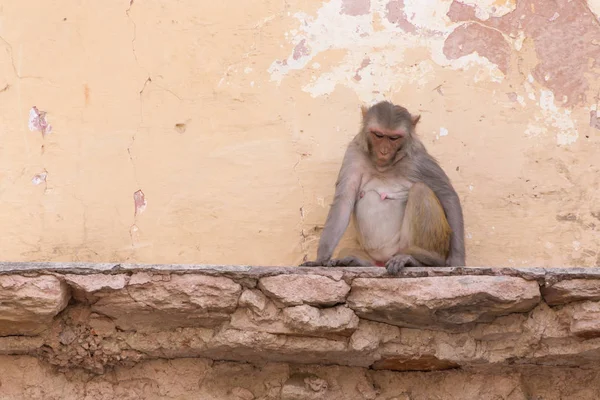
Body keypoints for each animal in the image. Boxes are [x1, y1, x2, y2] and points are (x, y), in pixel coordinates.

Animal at [302, 101, 466, 274]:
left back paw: (417, 260)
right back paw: (358, 261)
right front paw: (320, 259)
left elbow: (447, 195)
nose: (384, 151)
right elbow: (344, 201)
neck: (383, 166)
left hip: (404, 247)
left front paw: (457, 260)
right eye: (379, 135)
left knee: (420, 189)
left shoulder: (418, 158)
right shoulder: (354, 152)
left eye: (394, 138)